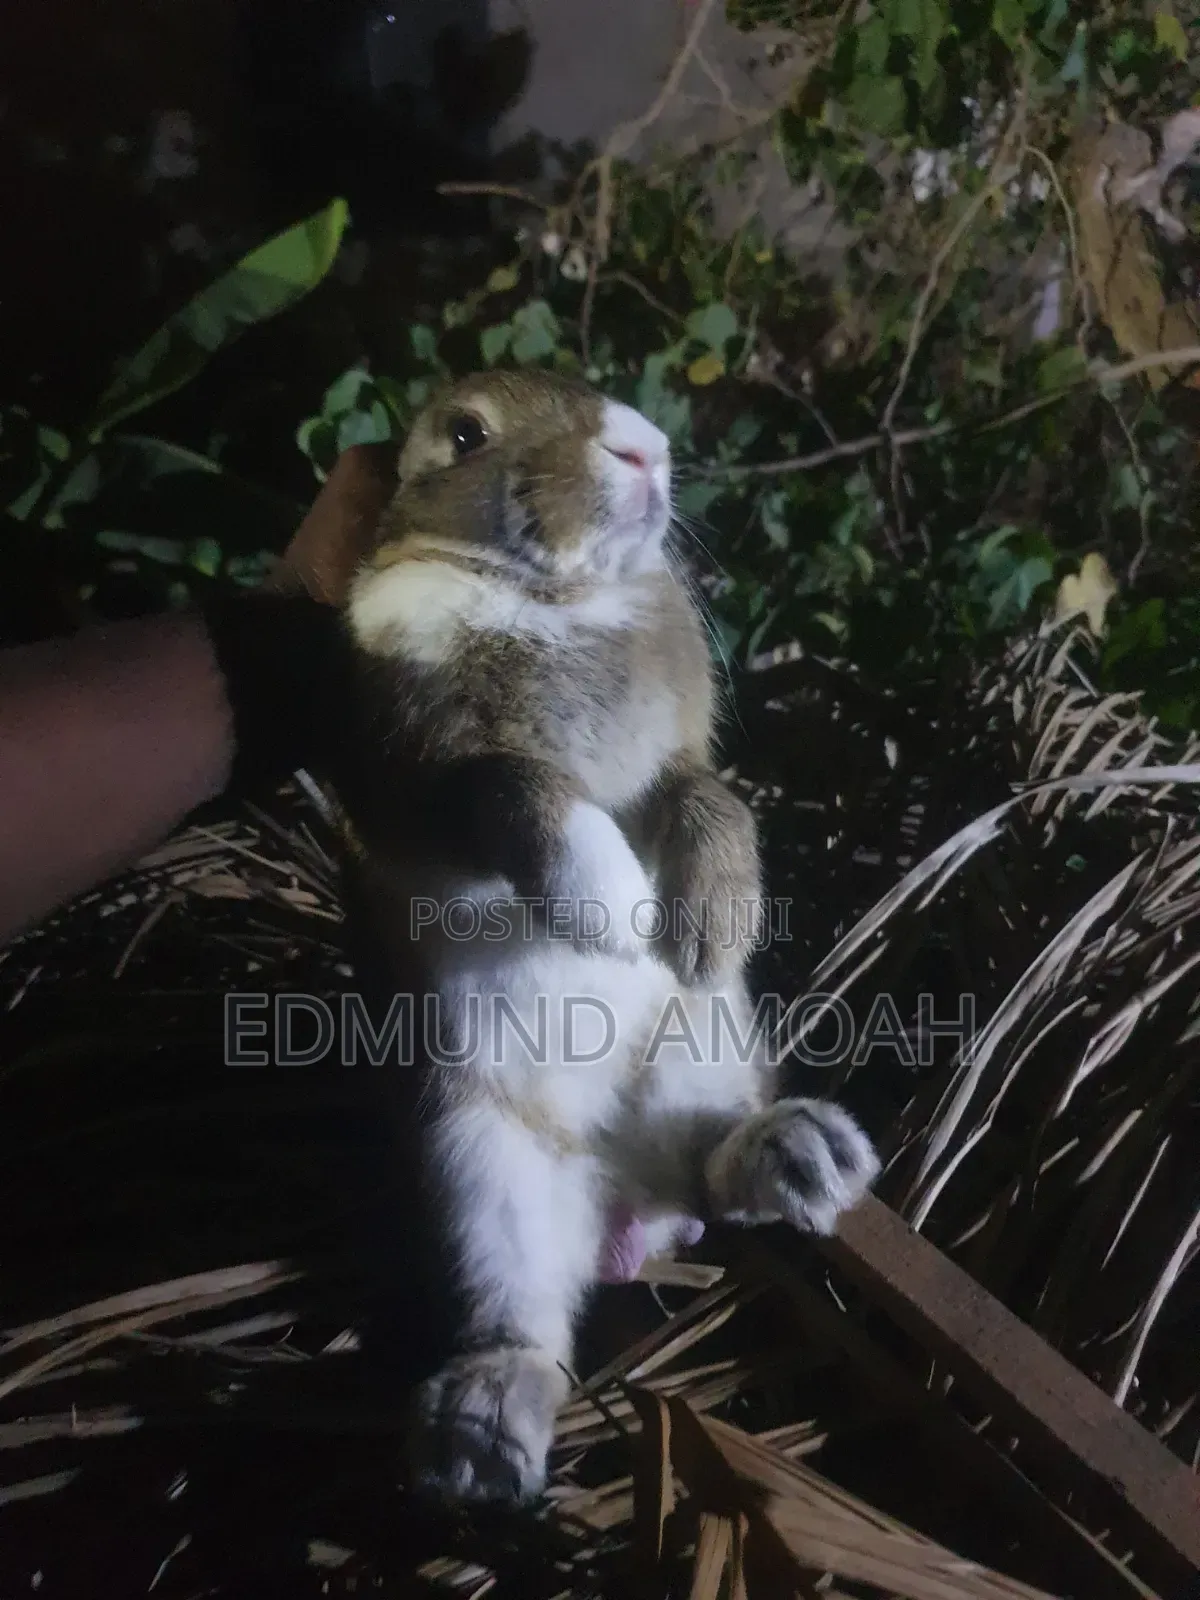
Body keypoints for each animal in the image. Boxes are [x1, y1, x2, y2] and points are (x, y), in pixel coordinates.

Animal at [328, 368, 879, 1505]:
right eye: (464, 433)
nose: (643, 447)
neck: (557, 601)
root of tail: (633, 1206)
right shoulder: (412, 783)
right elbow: (509, 785)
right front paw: (611, 908)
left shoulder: (676, 762)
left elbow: (710, 796)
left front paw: (711, 926)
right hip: (482, 1168)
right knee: (527, 1320)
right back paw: (479, 1440)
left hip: (701, 1055)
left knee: (717, 1167)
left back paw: (807, 1155)